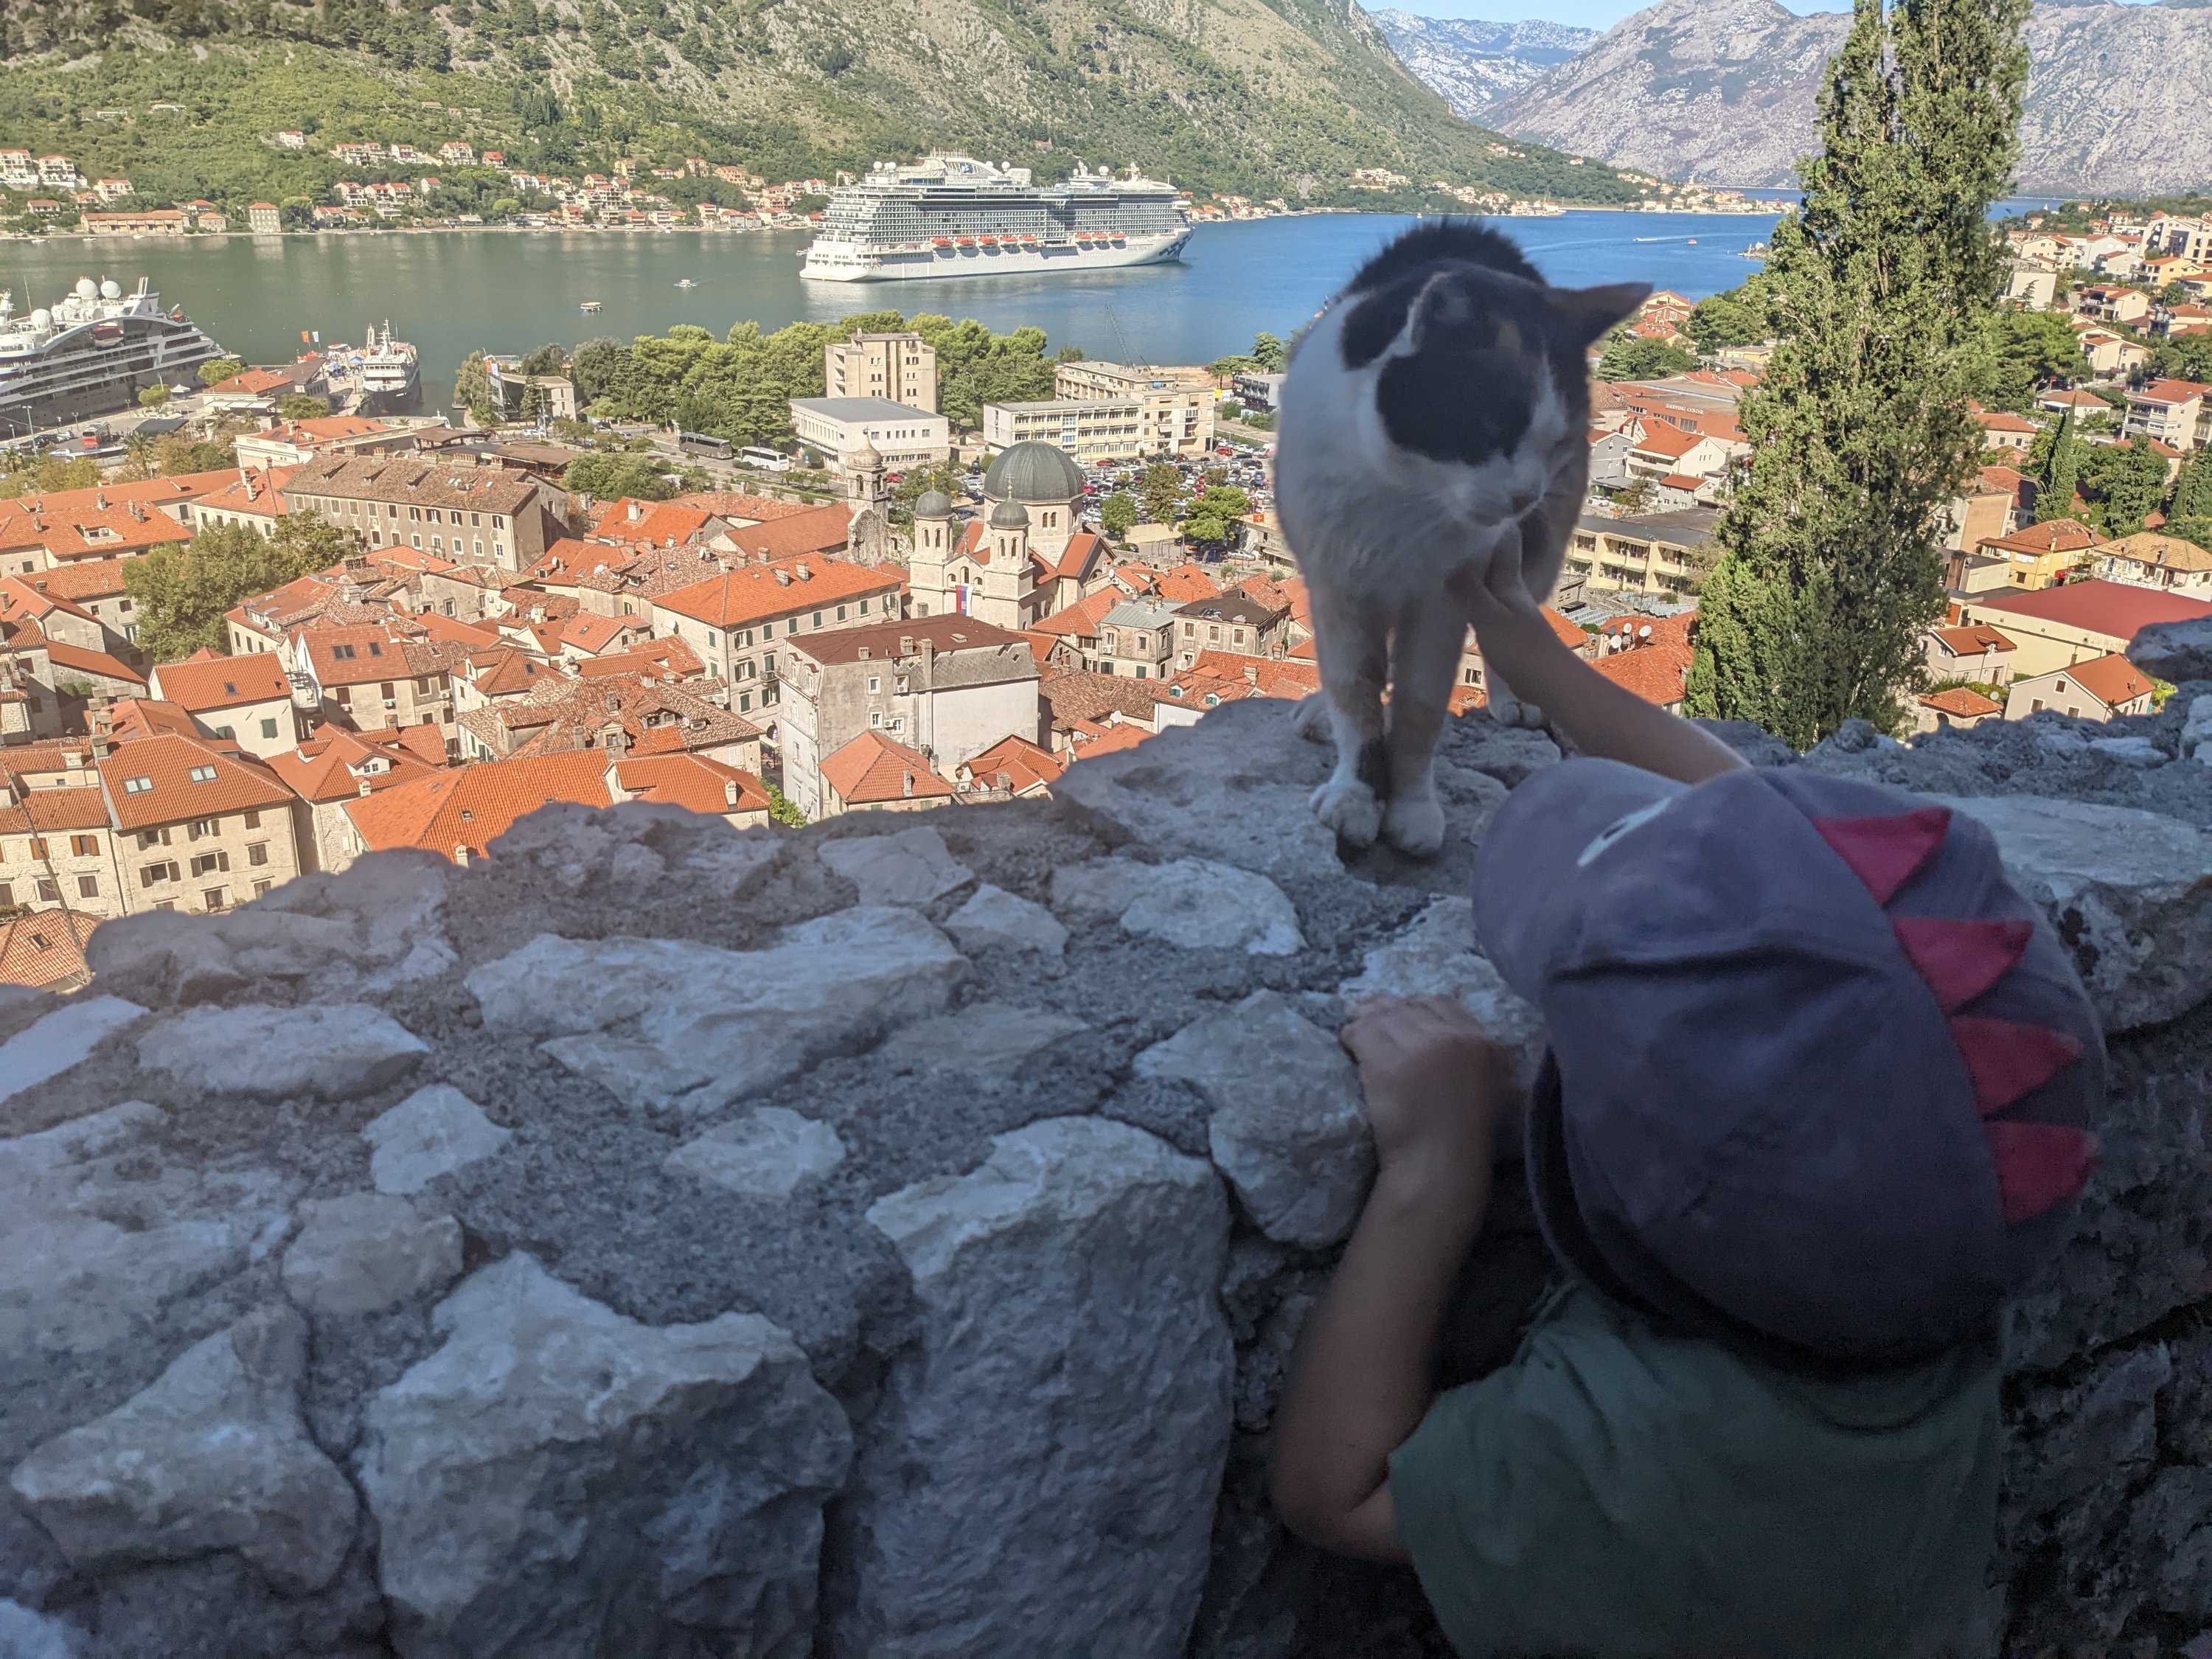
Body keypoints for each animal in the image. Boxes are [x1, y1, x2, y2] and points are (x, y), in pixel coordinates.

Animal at [1274, 220, 1647, 856]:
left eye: (1554, 441)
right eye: (1491, 430)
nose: (1525, 495)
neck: (1406, 493)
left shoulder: (1444, 600)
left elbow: (1421, 708)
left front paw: (1411, 806)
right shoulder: (1338, 585)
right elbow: (1355, 691)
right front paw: (1356, 794)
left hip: (1540, 548)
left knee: (1517, 621)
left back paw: (1514, 699)